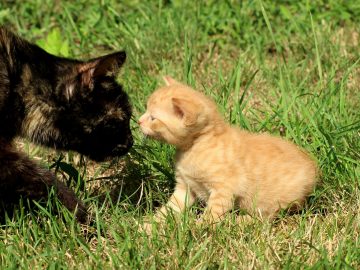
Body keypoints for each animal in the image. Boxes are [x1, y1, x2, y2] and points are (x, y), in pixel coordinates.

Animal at [139, 75, 320, 221]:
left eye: (153, 118)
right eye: (146, 110)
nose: (139, 121)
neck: (196, 145)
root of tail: (313, 170)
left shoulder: (223, 189)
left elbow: (212, 215)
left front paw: (199, 230)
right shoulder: (185, 187)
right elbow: (169, 209)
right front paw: (148, 226)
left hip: (273, 201)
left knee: (265, 217)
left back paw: (239, 221)